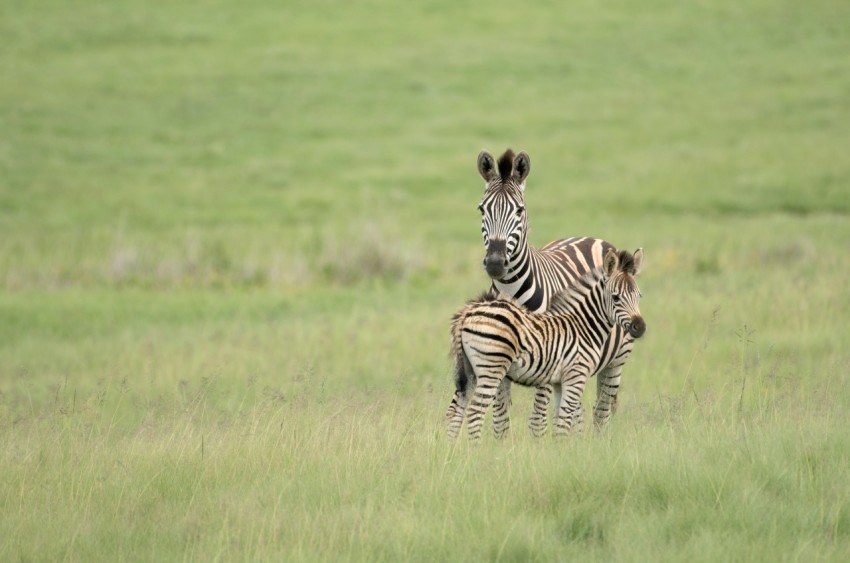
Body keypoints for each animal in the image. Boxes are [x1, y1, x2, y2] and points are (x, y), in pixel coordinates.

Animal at [445, 248, 645, 440]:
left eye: (639, 296)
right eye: (616, 297)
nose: (640, 327)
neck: (583, 326)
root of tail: (468, 312)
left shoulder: (559, 382)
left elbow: (559, 421)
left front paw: (558, 449)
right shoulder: (576, 376)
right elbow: (564, 421)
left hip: (469, 370)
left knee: (455, 411)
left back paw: (453, 449)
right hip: (491, 369)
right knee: (474, 412)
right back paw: (476, 448)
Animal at [455, 148, 636, 437]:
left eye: (519, 210)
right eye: (482, 208)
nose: (495, 262)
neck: (511, 291)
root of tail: (592, 238)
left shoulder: (550, 357)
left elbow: (537, 421)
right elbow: (500, 419)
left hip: (617, 359)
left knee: (602, 411)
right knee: (578, 413)